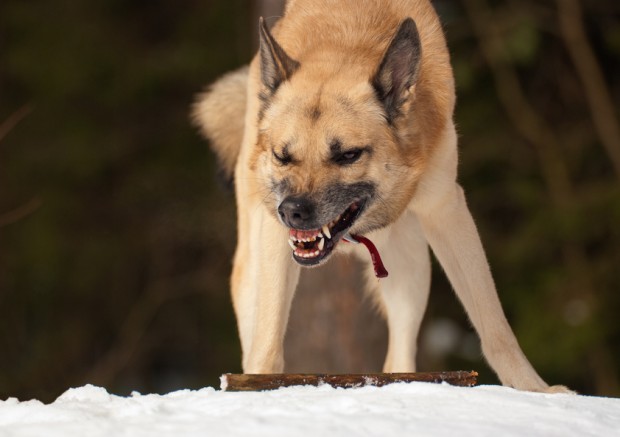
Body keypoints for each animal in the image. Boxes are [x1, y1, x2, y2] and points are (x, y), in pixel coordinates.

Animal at [194, 0, 572, 392]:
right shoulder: (274, 239)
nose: (293, 212)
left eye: (348, 155)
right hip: (252, 267)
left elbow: (494, 325)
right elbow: (267, 339)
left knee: (398, 359)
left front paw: (535, 390)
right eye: (283, 156)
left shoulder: (446, 210)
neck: (347, 37)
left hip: (411, 264)